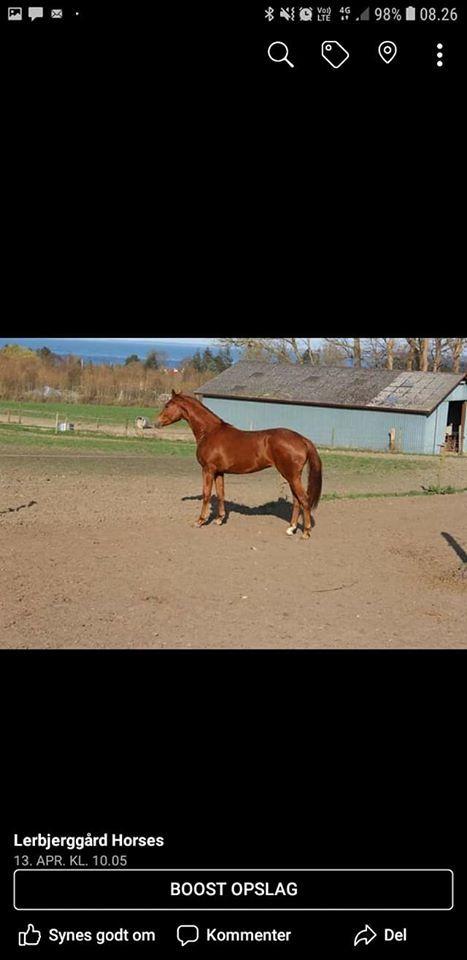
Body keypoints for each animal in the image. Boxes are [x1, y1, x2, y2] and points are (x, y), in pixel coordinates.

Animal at [156, 390, 322, 540]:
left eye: (167, 405)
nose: (156, 422)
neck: (210, 432)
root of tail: (302, 439)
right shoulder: (219, 472)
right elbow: (221, 494)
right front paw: (219, 519)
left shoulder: (208, 470)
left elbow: (206, 494)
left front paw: (200, 521)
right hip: (291, 476)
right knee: (296, 501)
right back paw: (291, 528)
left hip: (291, 476)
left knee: (304, 500)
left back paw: (305, 533)